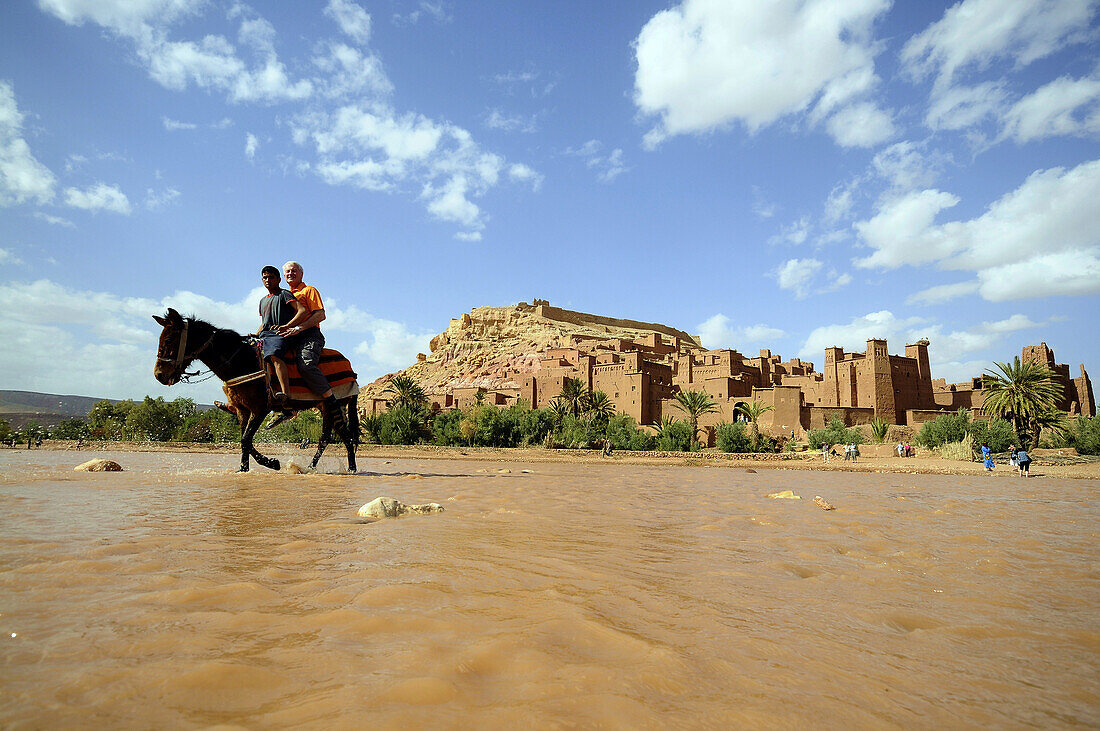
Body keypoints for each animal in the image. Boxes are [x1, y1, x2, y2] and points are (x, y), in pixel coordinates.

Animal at [152, 305, 358, 470]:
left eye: (169, 339)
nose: (159, 374)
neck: (242, 362)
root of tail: (350, 368)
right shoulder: (243, 410)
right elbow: (245, 440)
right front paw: (245, 469)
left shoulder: (260, 409)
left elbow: (246, 439)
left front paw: (271, 463)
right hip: (324, 407)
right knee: (328, 439)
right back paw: (312, 468)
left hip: (334, 405)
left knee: (343, 437)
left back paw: (350, 469)